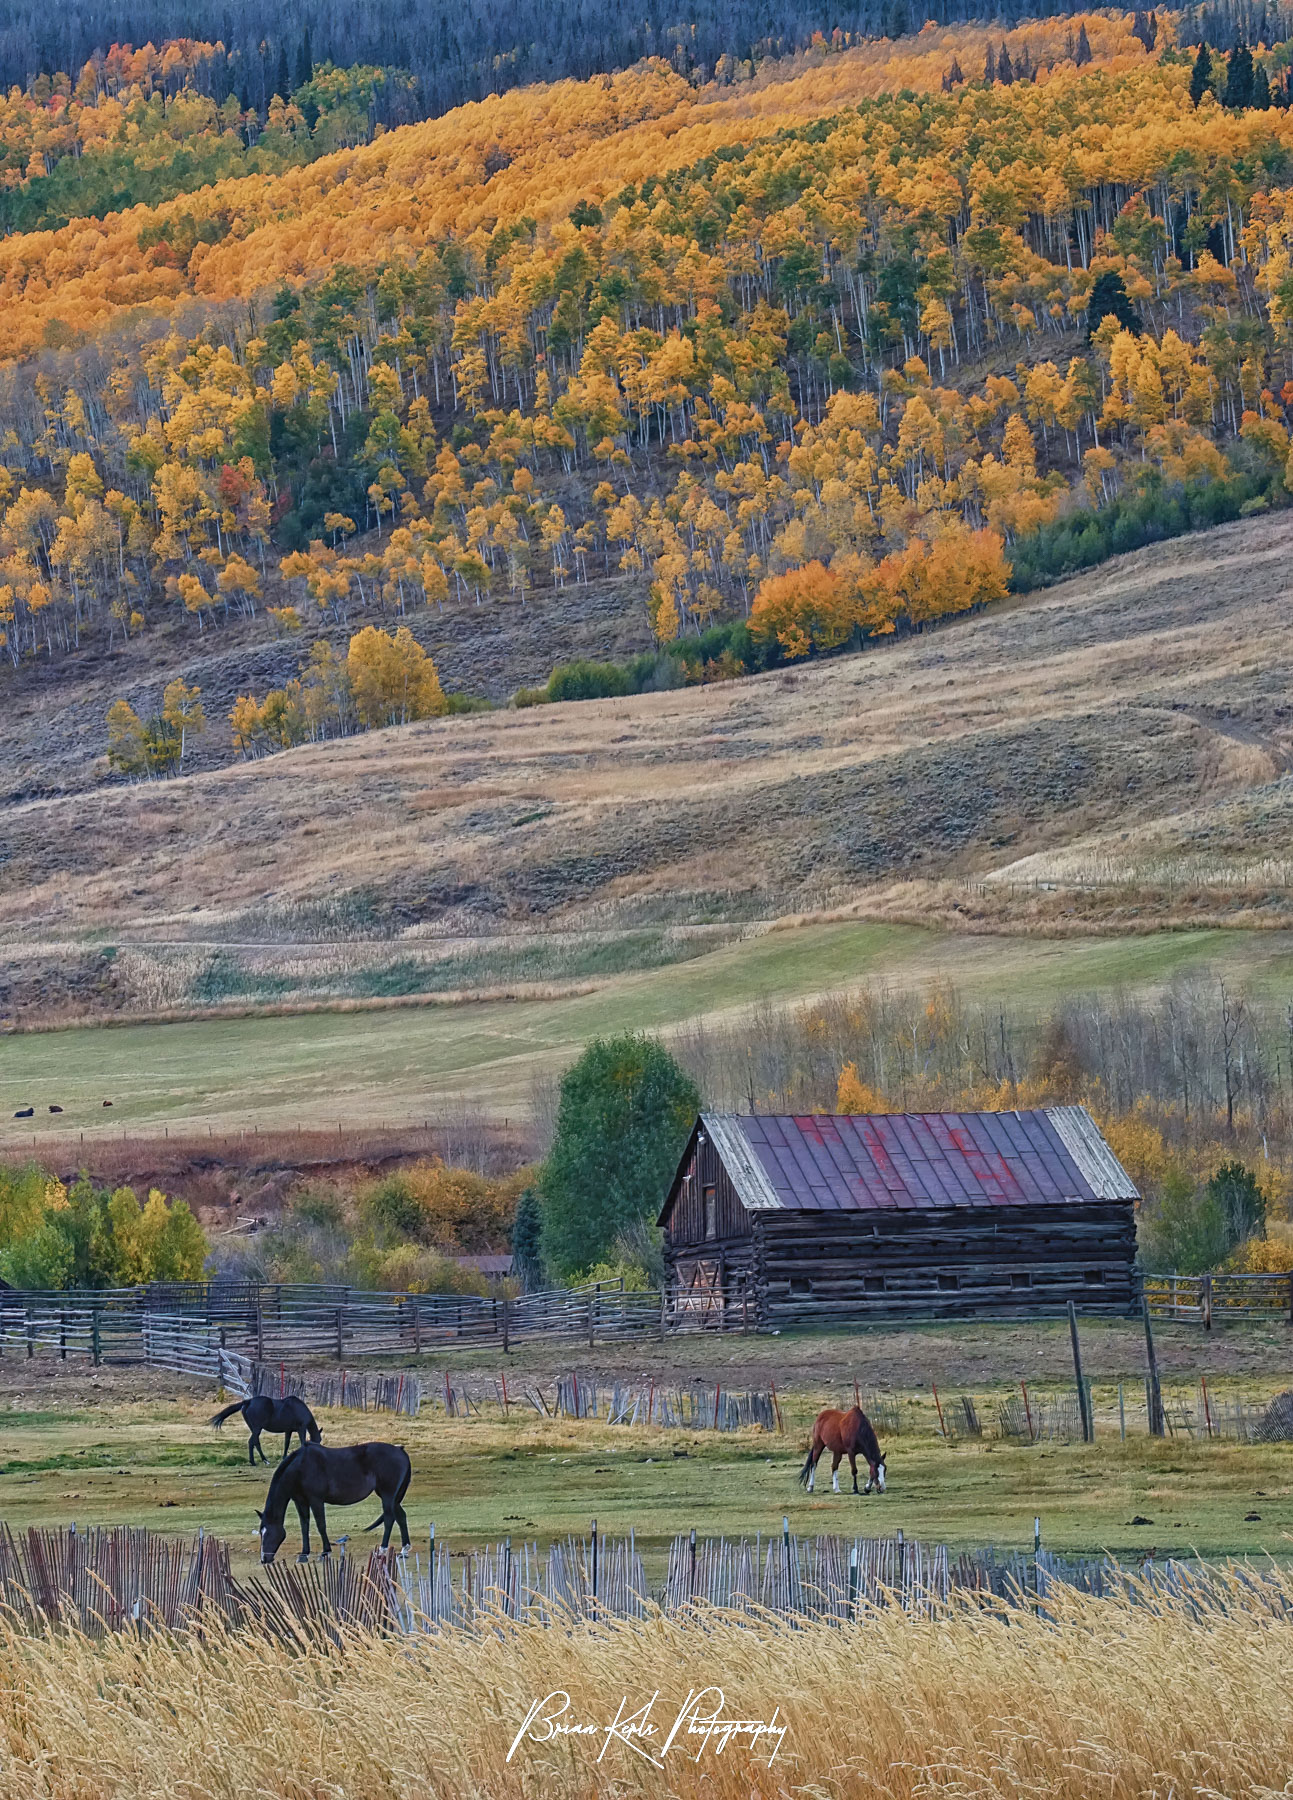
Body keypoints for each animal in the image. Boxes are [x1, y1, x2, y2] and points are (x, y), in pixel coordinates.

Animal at [257, 1432, 410, 1562]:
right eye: (261, 1533)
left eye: (268, 1533)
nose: (264, 1559)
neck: (300, 1467)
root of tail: (400, 1451)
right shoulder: (300, 1501)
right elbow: (304, 1526)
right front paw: (304, 1554)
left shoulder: (316, 1500)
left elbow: (321, 1525)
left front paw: (325, 1552)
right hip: (391, 1497)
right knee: (401, 1517)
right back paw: (404, 1550)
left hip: (387, 1495)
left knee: (389, 1518)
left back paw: (383, 1549)